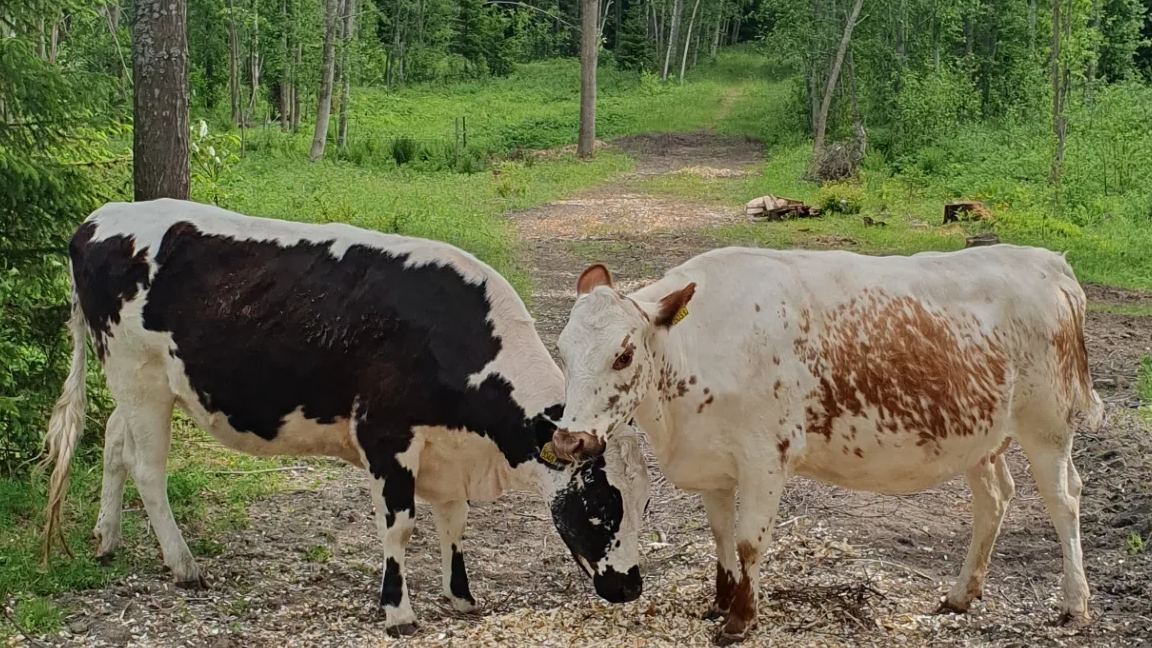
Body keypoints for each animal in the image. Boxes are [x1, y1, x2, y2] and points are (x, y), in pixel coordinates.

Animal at [40, 197, 654, 631]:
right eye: (602, 504)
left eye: (645, 501)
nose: (630, 586)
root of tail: (99, 218)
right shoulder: (386, 437)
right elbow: (401, 525)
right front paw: (398, 613)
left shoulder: (447, 451)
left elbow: (454, 522)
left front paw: (460, 596)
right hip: (137, 376)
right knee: (149, 470)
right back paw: (184, 565)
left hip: (137, 384)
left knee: (115, 444)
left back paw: (107, 538)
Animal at [552, 242, 1101, 641]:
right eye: (562, 348)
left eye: (623, 355)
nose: (570, 440)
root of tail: (1051, 263)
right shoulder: (714, 461)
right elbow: (722, 535)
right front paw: (720, 603)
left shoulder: (764, 459)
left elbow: (749, 540)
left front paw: (741, 621)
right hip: (980, 435)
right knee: (994, 499)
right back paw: (961, 594)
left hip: (1047, 426)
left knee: (1064, 499)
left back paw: (1074, 603)